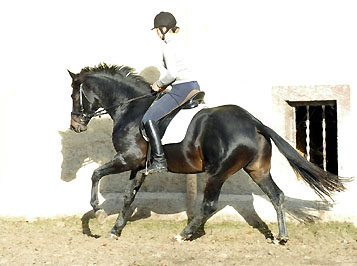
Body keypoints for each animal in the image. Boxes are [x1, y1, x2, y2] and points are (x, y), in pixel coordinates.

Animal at [67, 63, 348, 244]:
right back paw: (281, 236)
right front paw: (115, 230)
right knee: (276, 195)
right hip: (257, 169)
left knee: (210, 205)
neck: (130, 108)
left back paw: (184, 234)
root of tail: (252, 121)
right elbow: (127, 197)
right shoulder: (137, 166)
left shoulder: (128, 159)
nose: (75, 126)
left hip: (218, 172)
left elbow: (95, 173)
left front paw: (97, 211)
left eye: (73, 95)